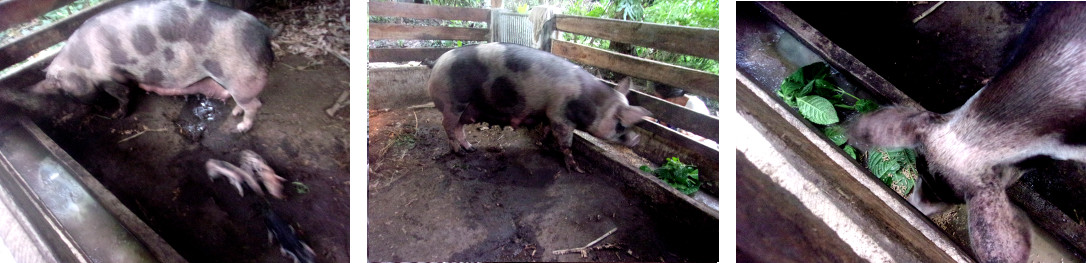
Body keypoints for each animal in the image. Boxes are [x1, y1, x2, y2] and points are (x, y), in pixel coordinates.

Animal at [32, 0, 275, 131]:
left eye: (65, 91)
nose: (91, 106)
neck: (78, 63)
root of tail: (264, 33)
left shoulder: (107, 76)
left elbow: (123, 94)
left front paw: (117, 116)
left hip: (240, 77)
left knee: (254, 105)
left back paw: (240, 127)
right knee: (245, 102)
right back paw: (234, 113)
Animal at [427, 42, 647, 172]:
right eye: (621, 124)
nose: (637, 139)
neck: (589, 102)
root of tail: (436, 63)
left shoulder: (550, 115)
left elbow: (547, 131)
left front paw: (544, 144)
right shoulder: (560, 116)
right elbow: (566, 144)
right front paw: (577, 169)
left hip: (466, 109)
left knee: (459, 127)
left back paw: (471, 149)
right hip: (453, 102)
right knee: (447, 125)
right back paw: (459, 153)